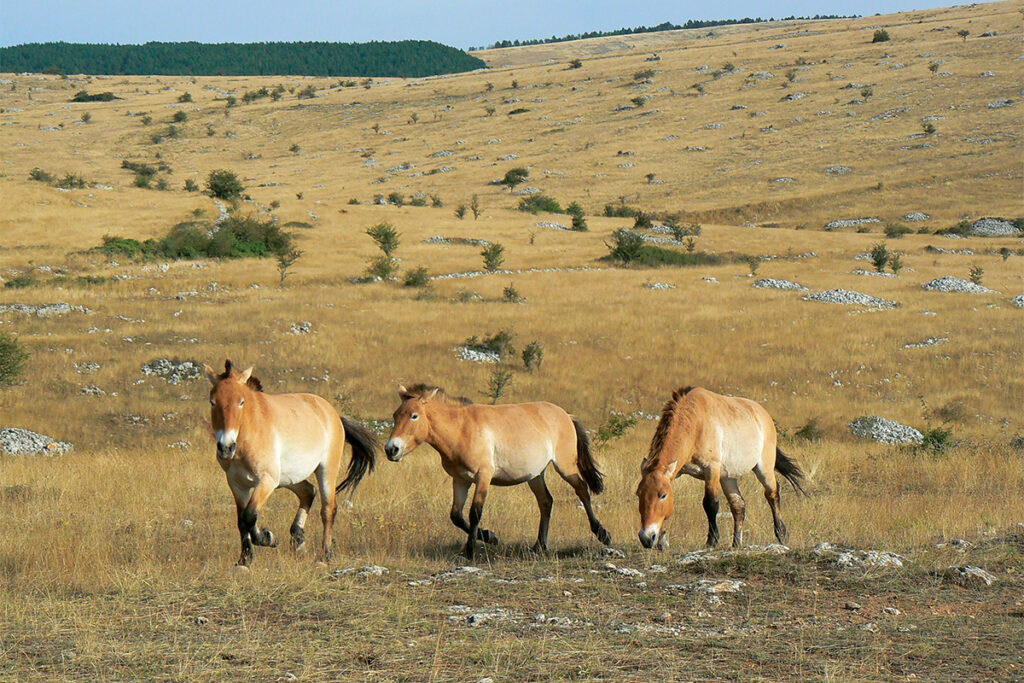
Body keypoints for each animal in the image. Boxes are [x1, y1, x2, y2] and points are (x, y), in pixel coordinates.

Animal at [202, 360, 376, 569]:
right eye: (213, 402)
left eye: (241, 402)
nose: (226, 447)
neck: (251, 431)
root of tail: (333, 414)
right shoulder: (237, 484)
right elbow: (241, 520)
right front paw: (244, 560)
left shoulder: (266, 481)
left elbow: (250, 515)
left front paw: (268, 538)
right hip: (289, 479)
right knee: (309, 492)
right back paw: (298, 540)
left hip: (325, 471)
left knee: (328, 510)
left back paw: (325, 555)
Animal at [382, 382, 606, 557]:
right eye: (395, 415)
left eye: (414, 416)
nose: (391, 449)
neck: (461, 430)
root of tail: (565, 414)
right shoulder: (460, 480)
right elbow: (456, 516)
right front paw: (490, 536)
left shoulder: (483, 476)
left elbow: (474, 512)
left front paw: (470, 551)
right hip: (535, 475)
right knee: (546, 502)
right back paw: (539, 547)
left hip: (565, 466)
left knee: (582, 491)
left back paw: (603, 534)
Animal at [630, 387, 806, 552]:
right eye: (639, 494)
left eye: (663, 495)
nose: (646, 538)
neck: (696, 423)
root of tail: (764, 415)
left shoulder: (711, 470)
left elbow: (710, 503)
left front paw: (712, 541)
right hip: (728, 477)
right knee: (738, 506)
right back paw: (736, 543)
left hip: (763, 469)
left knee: (772, 494)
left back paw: (782, 534)